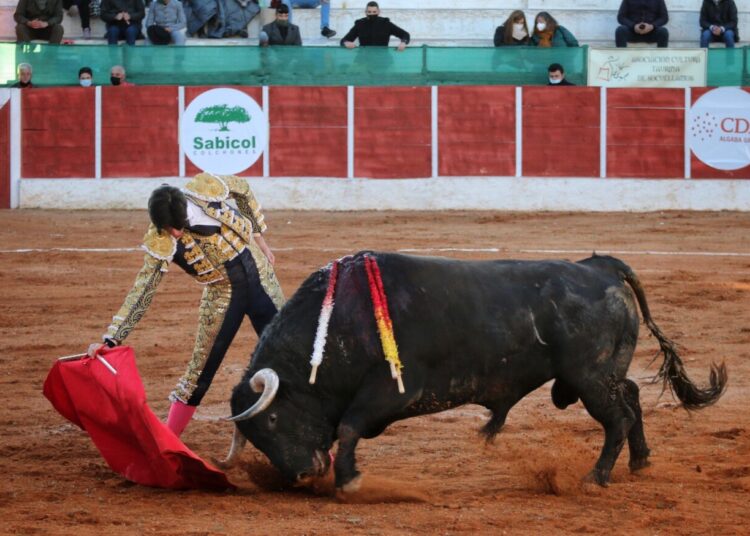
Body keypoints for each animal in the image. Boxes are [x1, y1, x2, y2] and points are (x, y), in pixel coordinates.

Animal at [225, 253, 728, 492]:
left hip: (589, 378)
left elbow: (348, 428)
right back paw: (641, 461)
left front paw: (349, 481)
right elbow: (347, 429)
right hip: (601, 374)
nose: (302, 476)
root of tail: (600, 266)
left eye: (273, 419)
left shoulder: (392, 390)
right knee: (632, 397)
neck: (337, 323)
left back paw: (596, 477)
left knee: (617, 417)